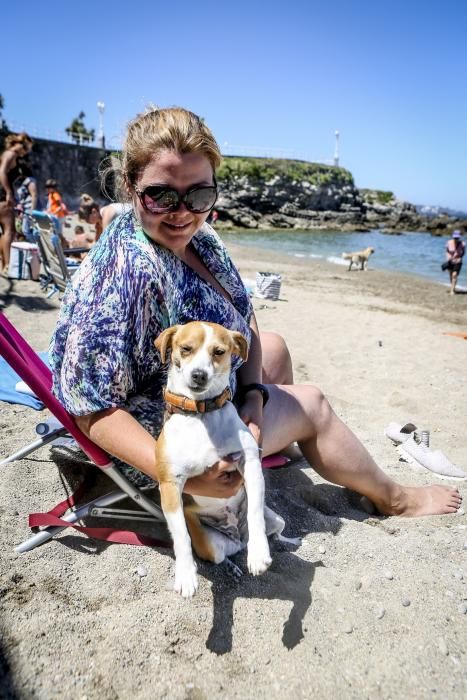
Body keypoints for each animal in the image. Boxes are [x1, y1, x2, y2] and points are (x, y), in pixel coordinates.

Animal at [154, 322, 286, 596]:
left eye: (219, 352)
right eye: (185, 349)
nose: (199, 375)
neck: (201, 415)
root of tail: (237, 537)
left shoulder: (250, 462)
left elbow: (255, 512)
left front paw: (259, 553)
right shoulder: (169, 485)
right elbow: (180, 536)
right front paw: (185, 574)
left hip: (277, 519)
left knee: (273, 532)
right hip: (211, 547)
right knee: (221, 557)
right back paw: (231, 567)